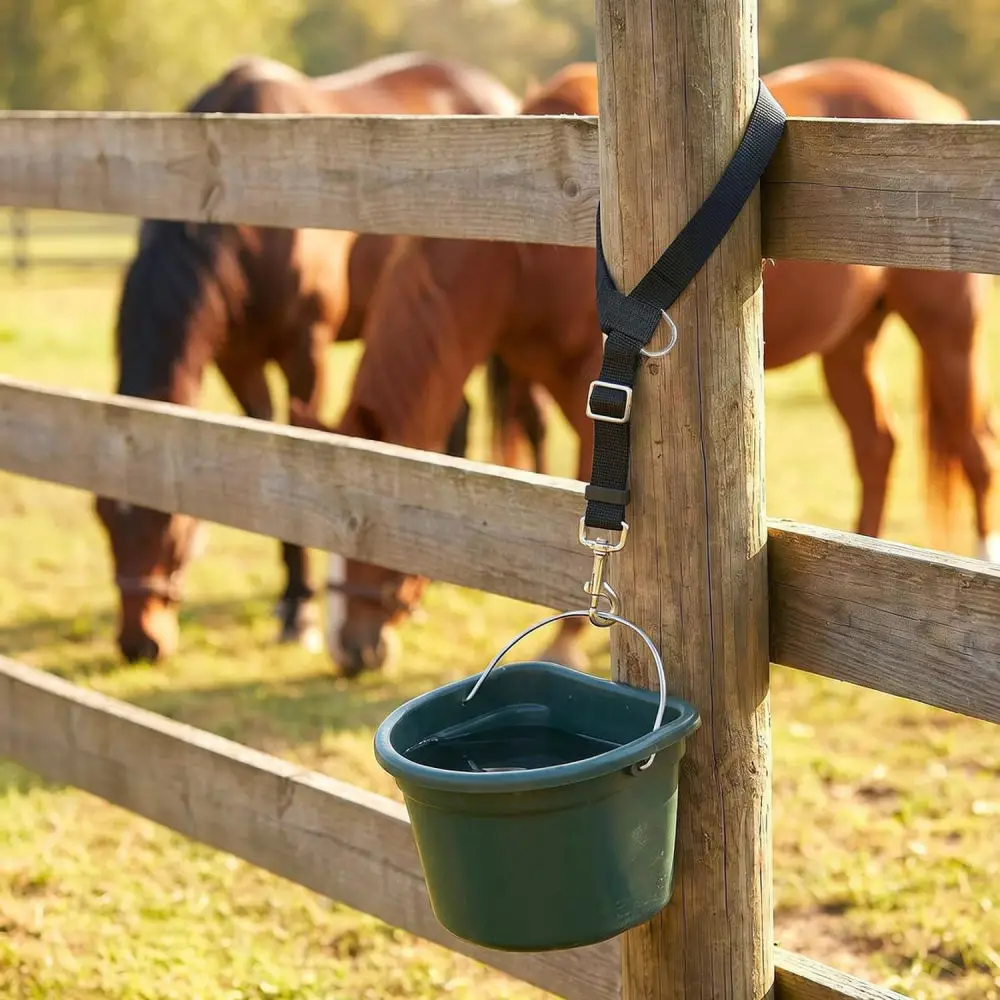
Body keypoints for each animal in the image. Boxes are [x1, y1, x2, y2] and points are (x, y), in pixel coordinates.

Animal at [93, 52, 544, 665]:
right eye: (104, 520)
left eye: (171, 527)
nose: (139, 643)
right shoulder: (240, 360)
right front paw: (290, 602)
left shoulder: (305, 352)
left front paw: (301, 614)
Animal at [316, 58, 996, 679]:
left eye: (372, 519)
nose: (349, 648)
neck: (523, 256)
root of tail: (936, 100)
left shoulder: (590, 387)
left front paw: (567, 642)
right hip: (850, 344)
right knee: (876, 445)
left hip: (947, 334)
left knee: (973, 445)